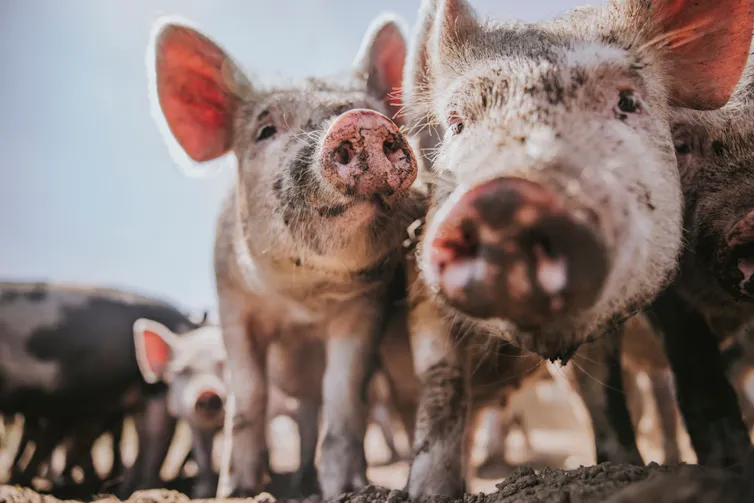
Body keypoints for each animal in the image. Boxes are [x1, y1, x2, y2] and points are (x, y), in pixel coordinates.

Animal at [147, 13, 424, 497]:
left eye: (379, 111)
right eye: (265, 130)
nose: (364, 121)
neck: (301, 301)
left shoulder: (365, 310)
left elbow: (343, 393)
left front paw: (345, 489)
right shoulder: (232, 303)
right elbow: (249, 394)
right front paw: (235, 491)